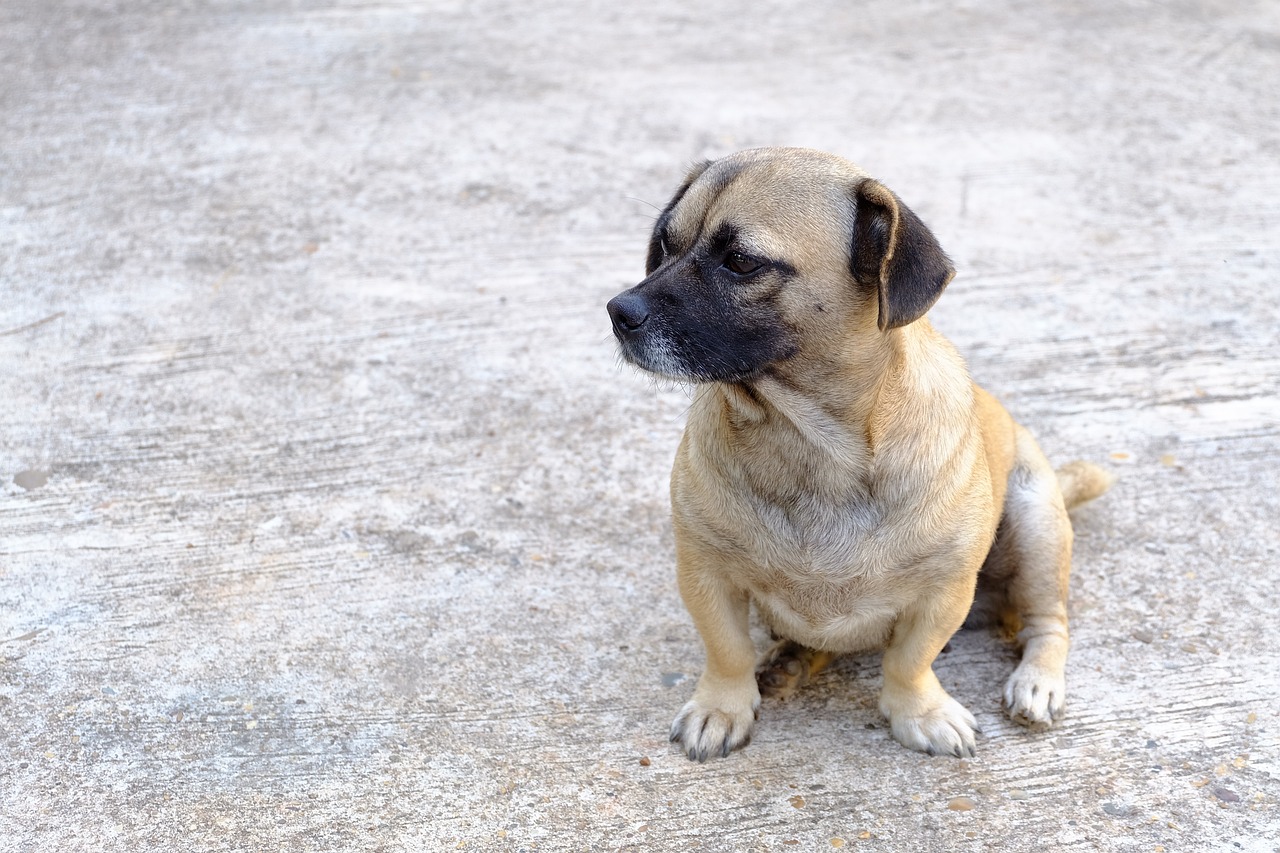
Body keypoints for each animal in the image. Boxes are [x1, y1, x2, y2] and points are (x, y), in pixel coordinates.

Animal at [601, 147, 1111, 758]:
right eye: (665, 245)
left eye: (741, 262)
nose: (618, 311)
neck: (810, 441)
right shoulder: (706, 574)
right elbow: (727, 651)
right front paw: (721, 706)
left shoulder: (941, 595)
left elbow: (909, 662)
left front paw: (919, 711)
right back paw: (790, 662)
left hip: (1037, 526)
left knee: (1047, 623)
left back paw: (1037, 681)